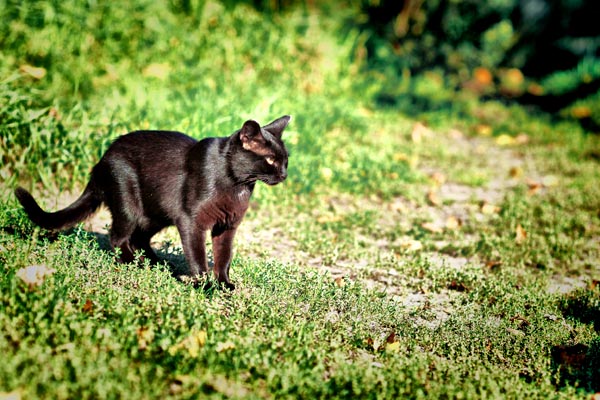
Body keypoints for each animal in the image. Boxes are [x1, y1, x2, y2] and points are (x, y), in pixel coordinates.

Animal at [15, 114, 292, 290]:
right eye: (270, 160)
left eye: (286, 159)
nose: (283, 174)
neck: (237, 184)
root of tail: (101, 161)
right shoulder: (191, 221)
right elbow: (198, 257)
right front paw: (204, 286)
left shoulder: (227, 226)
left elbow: (224, 258)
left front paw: (224, 285)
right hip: (129, 204)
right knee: (117, 236)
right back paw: (133, 262)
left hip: (156, 213)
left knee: (139, 238)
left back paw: (155, 262)